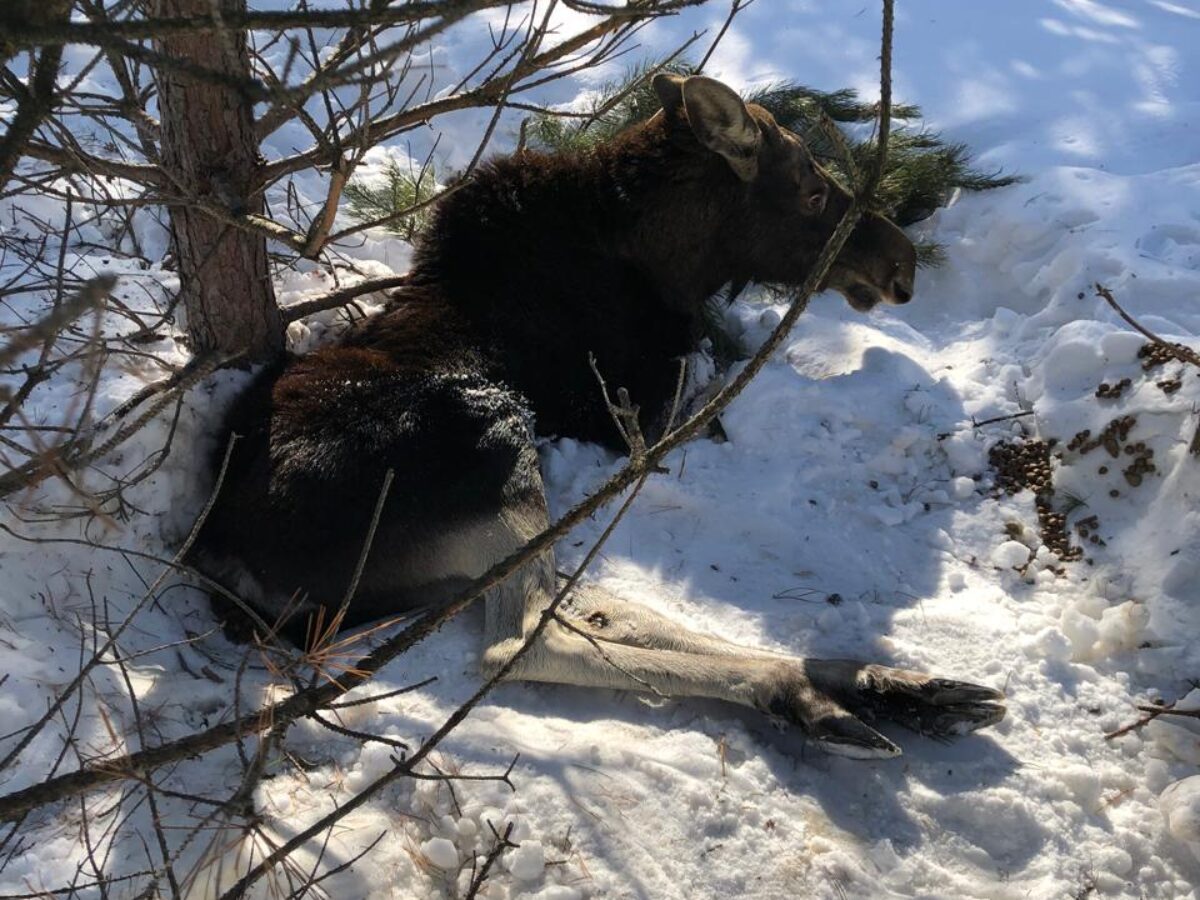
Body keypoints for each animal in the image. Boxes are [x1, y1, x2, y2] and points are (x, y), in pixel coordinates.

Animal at [194, 74, 1003, 763]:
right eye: (809, 194)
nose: (902, 264)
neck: (671, 265)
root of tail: (226, 559)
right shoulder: (637, 413)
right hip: (494, 445)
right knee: (525, 635)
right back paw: (801, 691)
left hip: (451, 555)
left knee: (574, 602)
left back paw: (885, 683)